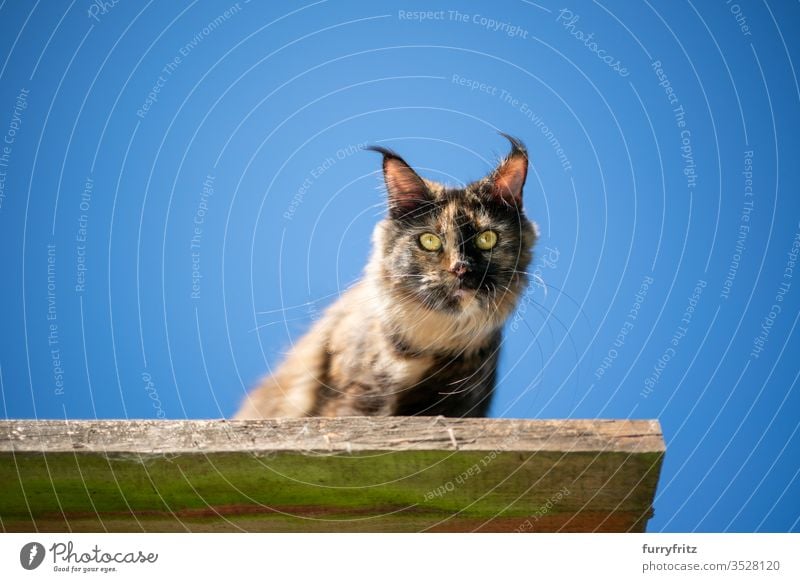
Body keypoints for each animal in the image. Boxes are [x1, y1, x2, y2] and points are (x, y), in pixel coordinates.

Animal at [234, 136, 540, 420]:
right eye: (429, 241)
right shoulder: (356, 398)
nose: (461, 268)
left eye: (486, 239)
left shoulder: (457, 402)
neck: (432, 341)